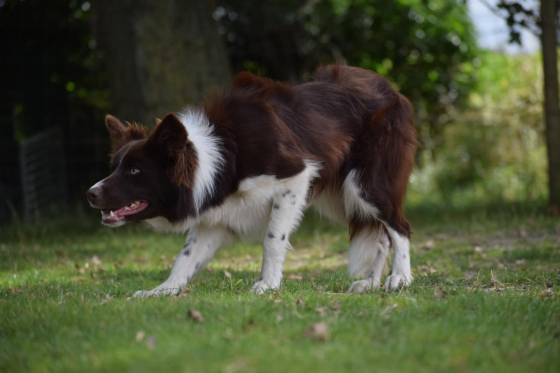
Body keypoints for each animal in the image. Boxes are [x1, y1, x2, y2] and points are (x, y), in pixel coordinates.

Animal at [86, 64, 416, 296]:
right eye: (115, 167)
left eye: (134, 171)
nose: (90, 194)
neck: (220, 158)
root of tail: (391, 89)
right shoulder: (215, 217)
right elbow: (185, 257)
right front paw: (163, 290)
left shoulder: (295, 177)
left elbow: (272, 240)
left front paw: (267, 285)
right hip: (342, 196)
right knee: (380, 235)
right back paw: (371, 283)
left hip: (365, 185)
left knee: (399, 227)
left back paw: (400, 277)